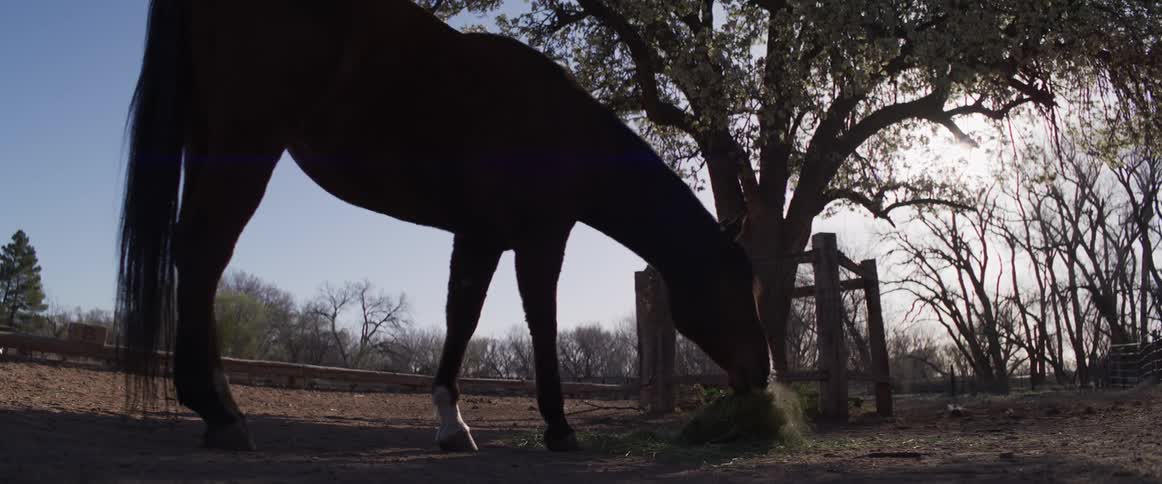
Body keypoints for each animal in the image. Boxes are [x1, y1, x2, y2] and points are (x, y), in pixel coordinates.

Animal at [117, 0, 771, 453]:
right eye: (737, 287)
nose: (761, 375)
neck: (564, 130)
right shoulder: (538, 238)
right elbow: (542, 321)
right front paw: (559, 428)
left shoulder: (481, 235)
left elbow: (463, 316)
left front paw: (451, 424)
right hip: (247, 143)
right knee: (205, 250)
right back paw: (221, 412)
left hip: (209, 141)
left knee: (196, 258)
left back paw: (214, 402)